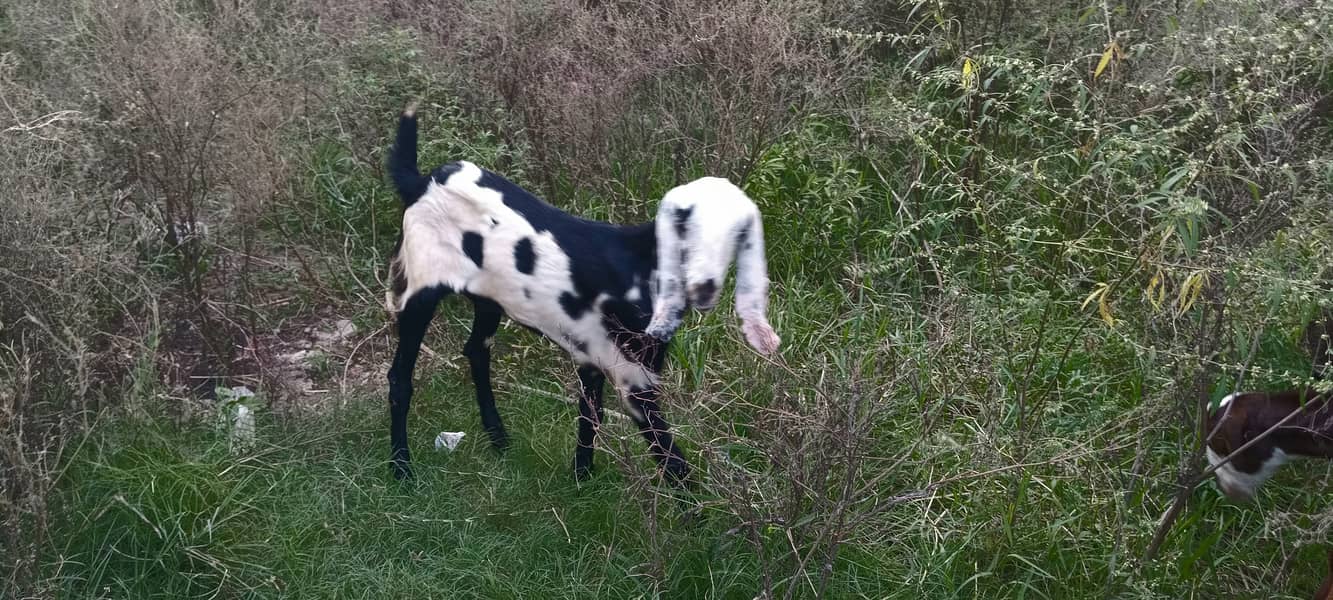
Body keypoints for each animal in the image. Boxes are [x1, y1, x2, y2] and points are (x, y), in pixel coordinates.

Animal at [383, 102, 778, 477]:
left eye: (735, 234)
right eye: (688, 226)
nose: (705, 286)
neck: (639, 263)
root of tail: (422, 182)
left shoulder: (594, 356)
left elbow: (590, 417)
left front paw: (581, 479)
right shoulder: (634, 380)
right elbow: (671, 459)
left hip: (489, 300)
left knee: (476, 352)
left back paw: (498, 438)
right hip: (421, 293)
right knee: (400, 378)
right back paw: (402, 469)